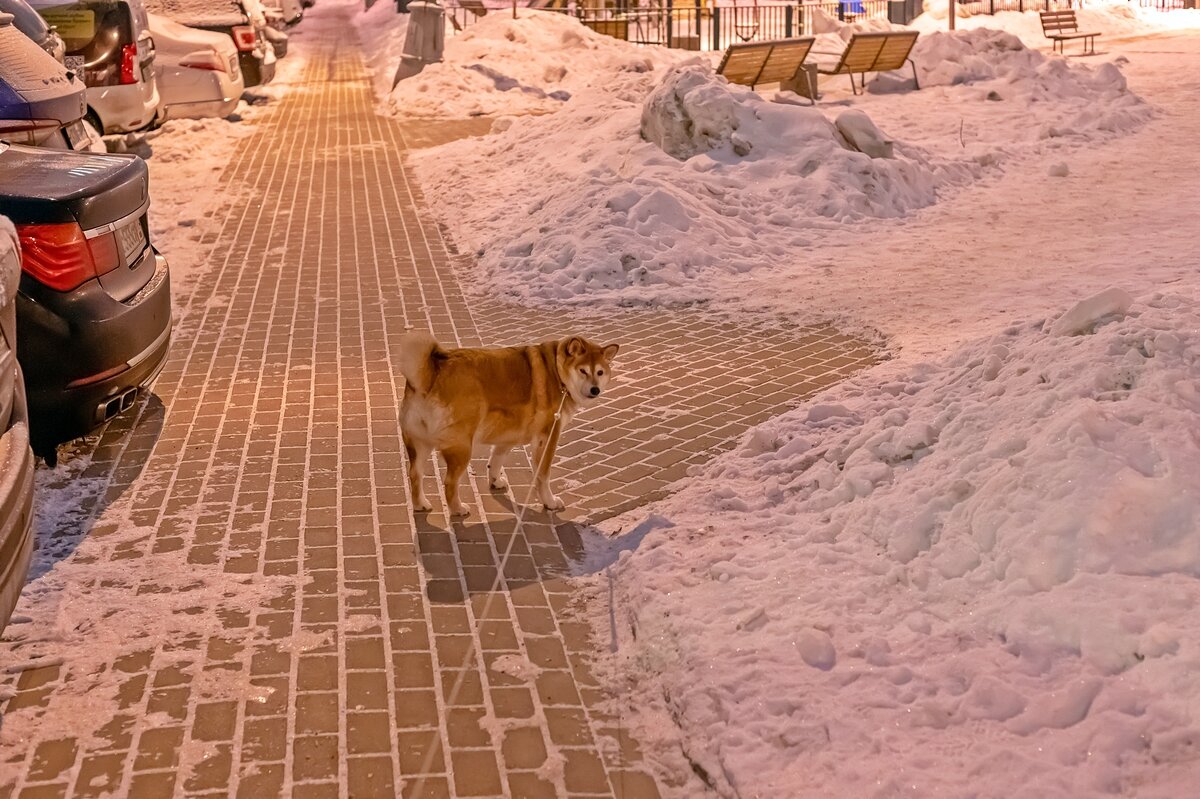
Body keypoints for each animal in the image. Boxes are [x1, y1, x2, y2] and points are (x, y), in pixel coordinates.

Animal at [398, 331, 619, 513]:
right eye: (583, 371)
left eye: (600, 372)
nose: (595, 390)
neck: (556, 372)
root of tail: (429, 376)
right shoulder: (547, 437)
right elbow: (543, 476)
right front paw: (549, 502)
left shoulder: (508, 434)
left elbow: (496, 459)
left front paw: (495, 481)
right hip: (461, 448)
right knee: (450, 482)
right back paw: (458, 509)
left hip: (420, 444)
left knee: (415, 474)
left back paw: (420, 504)